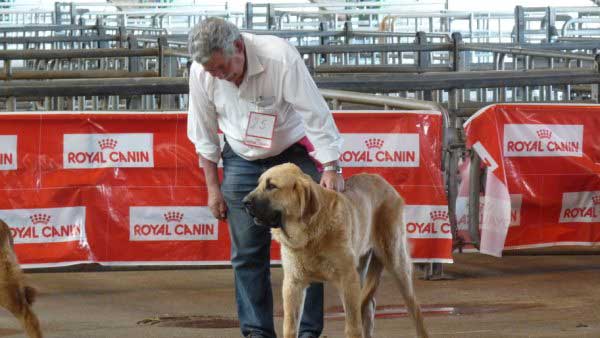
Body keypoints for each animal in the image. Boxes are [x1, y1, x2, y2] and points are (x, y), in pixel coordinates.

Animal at [241, 163, 428, 338]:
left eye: (271, 186)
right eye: (258, 184)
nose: (244, 202)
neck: (309, 235)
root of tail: (383, 181)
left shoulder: (347, 281)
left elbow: (353, 327)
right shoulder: (293, 284)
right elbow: (290, 327)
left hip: (396, 261)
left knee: (414, 308)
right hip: (362, 269)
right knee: (369, 305)